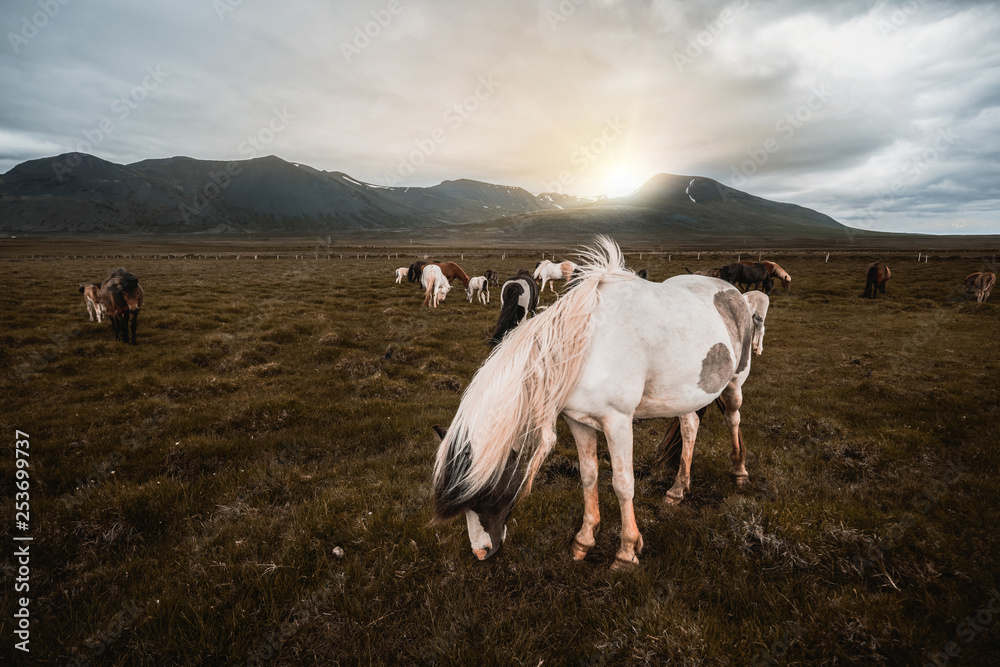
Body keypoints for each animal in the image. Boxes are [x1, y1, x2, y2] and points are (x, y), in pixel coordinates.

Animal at [430, 235, 764, 568]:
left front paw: (627, 551)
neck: (583, 348)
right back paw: (677, 490)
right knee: (690, 427)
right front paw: (584, 540)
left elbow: (623, 484)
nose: (481, 552)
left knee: (733, 418)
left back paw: (740, 473)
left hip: (735, 382)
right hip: (685, 396)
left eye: (483, 492)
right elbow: (589, 477)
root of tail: (732, 290)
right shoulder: (578, 421)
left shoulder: (618, 422)